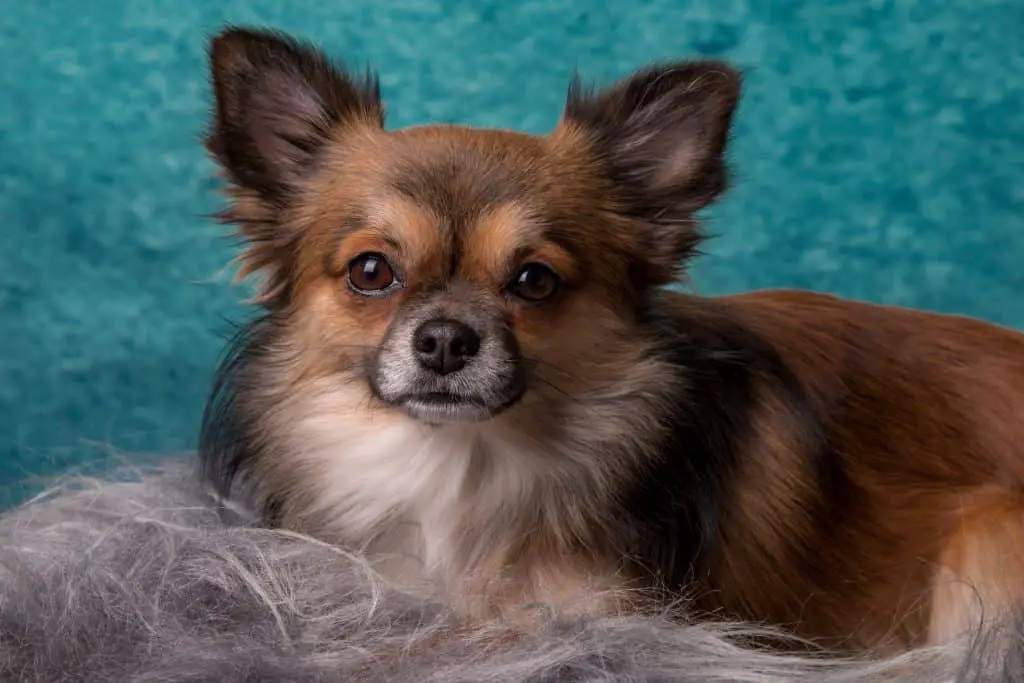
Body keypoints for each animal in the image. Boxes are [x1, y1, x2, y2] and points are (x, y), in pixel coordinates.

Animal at [195, 28, 1024, 655]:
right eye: (372, 271)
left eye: (534, 280)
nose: (445, 340)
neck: (461, 463)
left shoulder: (597, 620)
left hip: (989, 536)